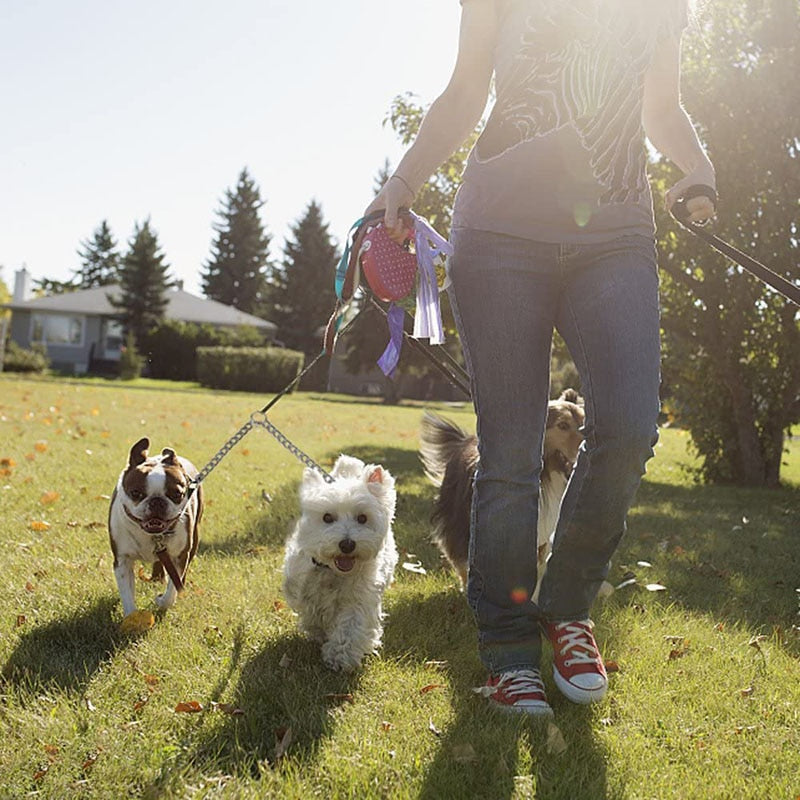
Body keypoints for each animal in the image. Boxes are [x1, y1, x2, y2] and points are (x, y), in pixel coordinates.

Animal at [108, 438, 203, 620]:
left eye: (177, 494)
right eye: (135, 493)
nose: (157, 501)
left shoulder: (179, 556)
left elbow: (172, 588)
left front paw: (162, 601)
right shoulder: (123, 560)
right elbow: (127, 593)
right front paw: (131, 618)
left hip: (194, 537)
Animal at [418, 388, 580, 600]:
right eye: (563, 425)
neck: (545, 476)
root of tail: (465, 440)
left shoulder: (541, 537)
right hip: (457, 517)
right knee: (457, 554)